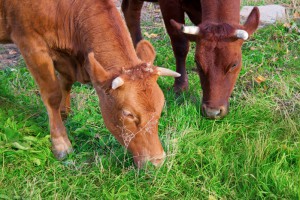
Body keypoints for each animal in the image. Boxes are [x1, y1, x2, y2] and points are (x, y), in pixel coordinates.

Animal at [0, 0, 179, 167]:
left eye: (160, 108)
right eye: (128, 114)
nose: (157, 161)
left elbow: (66, 82)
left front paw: (63, 114)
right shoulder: (31, 44)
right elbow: (52, 95)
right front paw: (60, 143)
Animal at [122, 0, 260, 119]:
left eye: (234, 64)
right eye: (197, 63)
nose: (212, 112)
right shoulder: (169, 4)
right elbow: (180, 44)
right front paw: (180, 85)